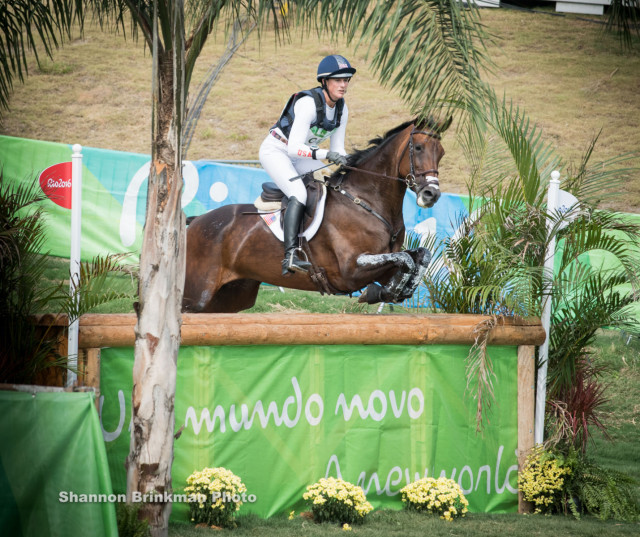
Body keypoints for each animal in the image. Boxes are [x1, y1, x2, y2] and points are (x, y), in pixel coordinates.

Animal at [180, 115, 450, 312]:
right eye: (418, 147)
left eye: (441, 153)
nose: (431, 194)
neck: (365, 201)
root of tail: (196, 222)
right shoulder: (351, 270)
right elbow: (405, 259)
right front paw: (385, 292)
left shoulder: (384, 266)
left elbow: (419, 257)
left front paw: (395, 290)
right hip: (196, 296)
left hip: (230, 297)